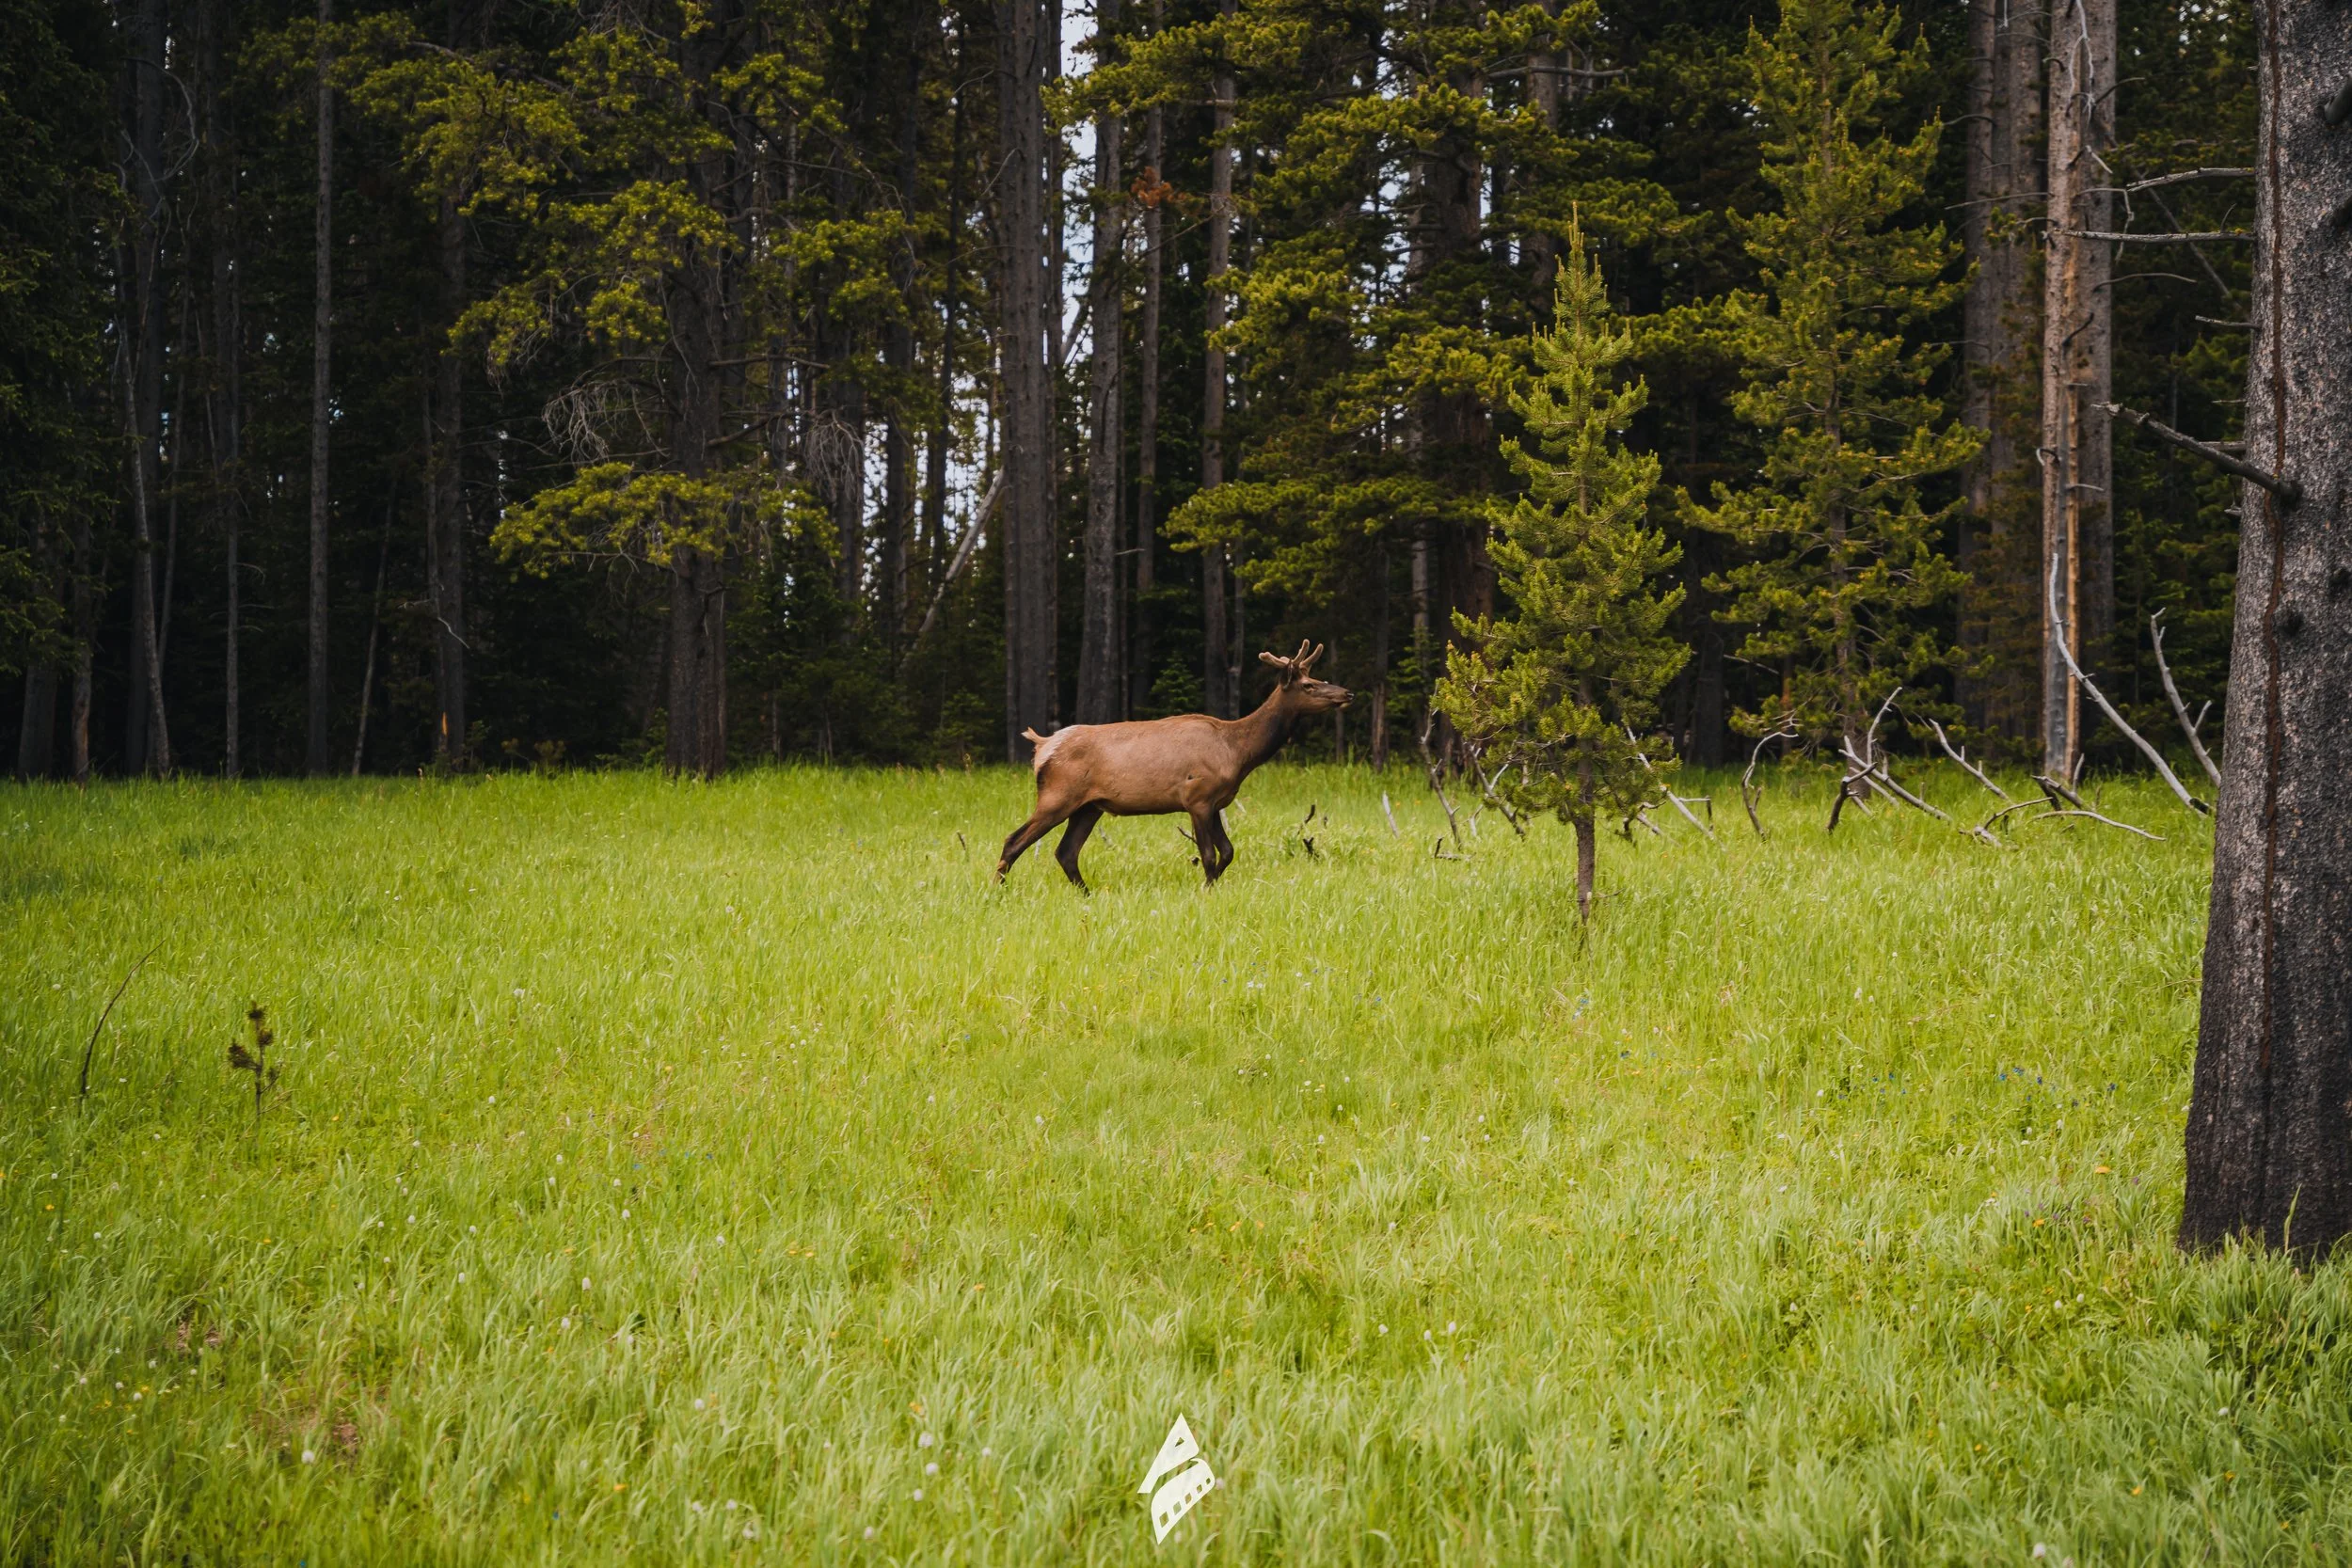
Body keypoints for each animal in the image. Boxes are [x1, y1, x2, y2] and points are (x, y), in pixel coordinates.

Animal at [996, 640, 1352, 890]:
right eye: (1309, 685)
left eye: (1318, 677)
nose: (1347, 693)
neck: (1239, 752)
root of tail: (1042, 746)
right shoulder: (1197, 797)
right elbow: (1210, 854)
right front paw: (1206, 891)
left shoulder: (1215, 802)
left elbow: (1228, 851)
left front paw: (1212, 887)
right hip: (1058, 795)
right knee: (1014, 840)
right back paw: (998, 891)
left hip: (1089, 806)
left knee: (1066, 852)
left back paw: (1088, 893)